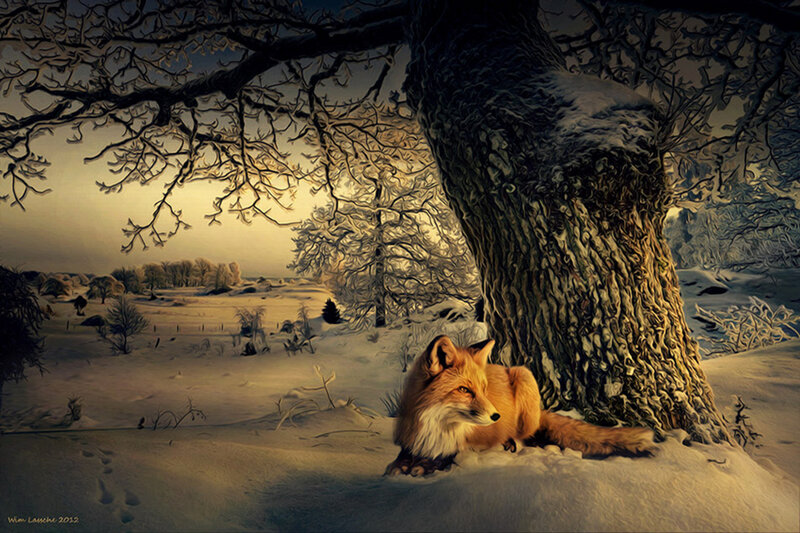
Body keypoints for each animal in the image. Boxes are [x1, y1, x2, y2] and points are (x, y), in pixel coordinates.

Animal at [385, 335, 655, 476]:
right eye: (464, 390)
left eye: (484, 389)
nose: (496, 416)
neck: (437, 427)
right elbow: (401, 457)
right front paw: (403, 465)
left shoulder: (474, 441)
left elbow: (450, 455)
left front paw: (425, 466)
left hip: (524, 376)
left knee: (526, 436)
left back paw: (512, 441)